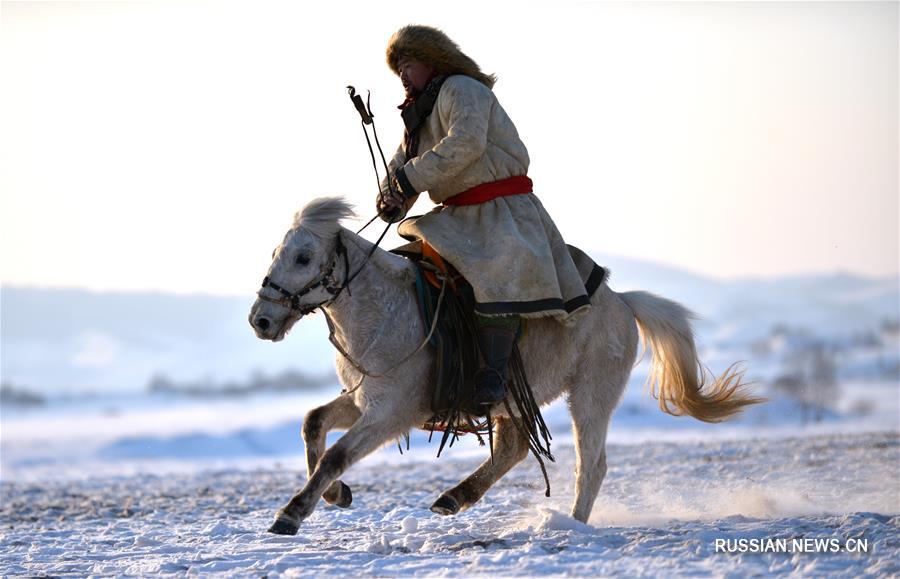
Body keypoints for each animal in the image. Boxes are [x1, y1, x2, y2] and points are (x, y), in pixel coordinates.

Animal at [250, 197, 764, 536]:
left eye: (303, 256)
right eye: (275, 253)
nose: (261, 319)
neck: (385, 311)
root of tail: (621, 301)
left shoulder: (392, 413)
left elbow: (336, 455)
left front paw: (291, 513)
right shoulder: (365, 401)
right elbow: (313, 423)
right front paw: (335, 495)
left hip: (590, 396)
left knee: (590, 465)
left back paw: (571, 526)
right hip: (514, 397)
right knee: (514, 449)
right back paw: (454, 498)